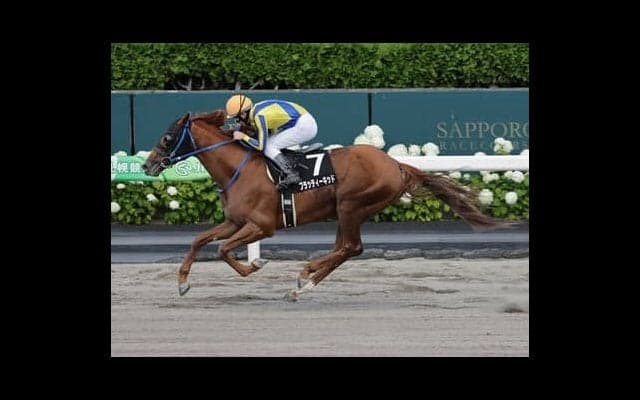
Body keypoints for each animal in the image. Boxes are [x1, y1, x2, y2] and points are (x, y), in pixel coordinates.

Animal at [142, 109, 513, 301]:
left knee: (351, 247)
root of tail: (396, 164)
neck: (239, 169)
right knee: (346, 249)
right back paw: (305, 282)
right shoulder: (235, 222)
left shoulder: (262, 226)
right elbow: (199, 241)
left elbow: (222, 250)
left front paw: (256, 265)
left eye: (166, 137)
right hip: (346, 210)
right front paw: (182, 283)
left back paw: (305, 275)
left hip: (351, 204)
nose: (147, 165)